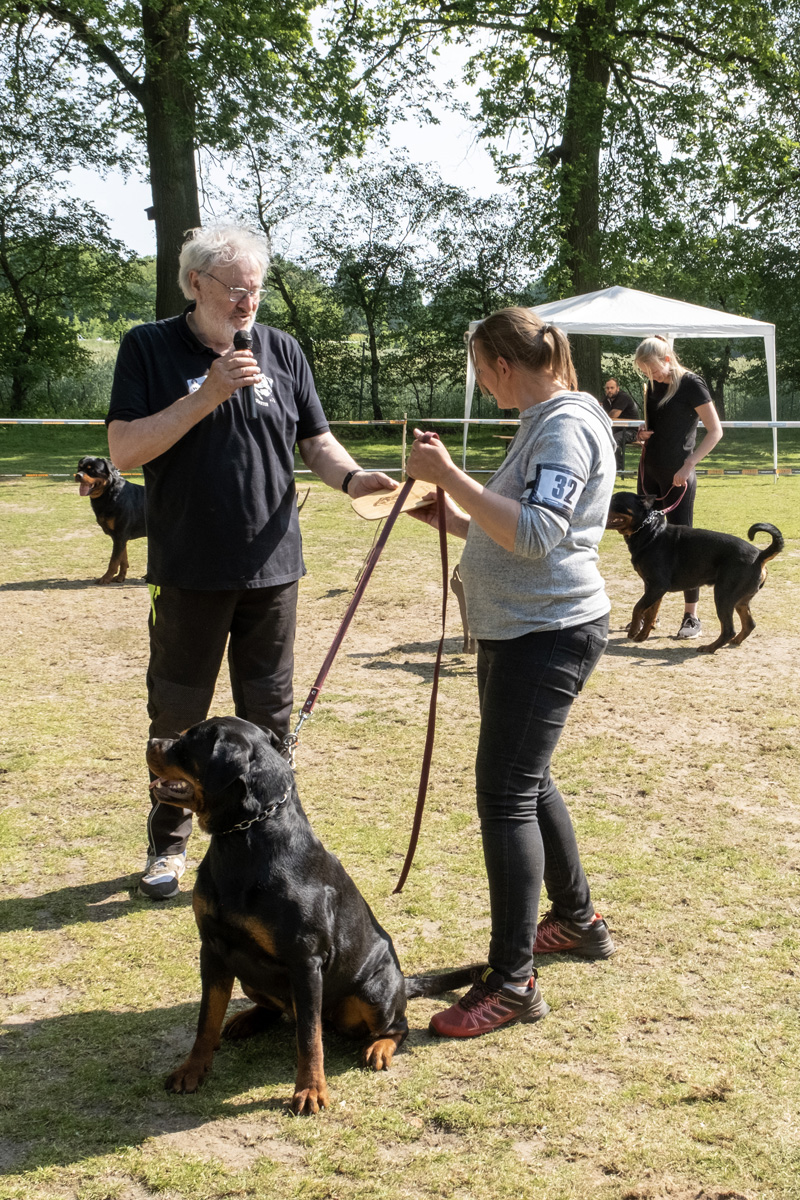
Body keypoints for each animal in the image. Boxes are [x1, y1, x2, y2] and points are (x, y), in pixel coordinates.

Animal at [75, 453, 146, 585]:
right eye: (79, 468)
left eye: (92, 470)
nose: (78, 475)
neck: (108, 494)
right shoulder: (119, 536)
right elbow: (122, 559)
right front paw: (120, 577)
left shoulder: (120, 534)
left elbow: (113, 561)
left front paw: (106, 578)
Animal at [145, 710, 474, 1113]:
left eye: (188, 741)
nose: (150, 741)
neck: (245, 839)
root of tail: (402, 980)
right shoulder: (214, 948)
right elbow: (206, 1019)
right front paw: (192, 1070)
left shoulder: (304, 961)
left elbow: (309, 1036)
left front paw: (311, 1090)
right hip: (250, 976)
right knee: (277, 1010)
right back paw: (248, 1018)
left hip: (374, 992)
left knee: (397, 1025)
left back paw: (379, 1047)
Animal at [606, 489, 782, 657]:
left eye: (615, 500)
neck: (648, 531)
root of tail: (760, 555)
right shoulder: (653, 588)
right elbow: (650, 613)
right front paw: (642, 636)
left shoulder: (657, 586)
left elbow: (638, 607)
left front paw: (633, 631)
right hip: (740, 600)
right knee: (749, 624)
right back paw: (735, 641)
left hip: (723, 595)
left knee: (728, 629)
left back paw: (710, 647)